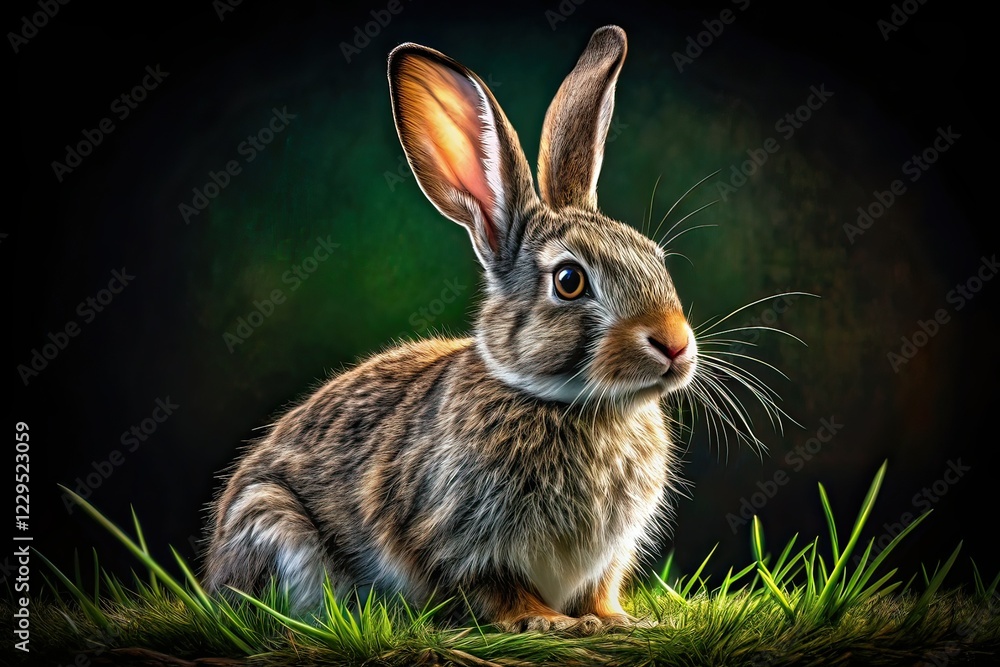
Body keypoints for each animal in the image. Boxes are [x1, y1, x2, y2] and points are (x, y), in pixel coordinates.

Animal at [203, 24, 698, 634]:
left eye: (655, 257)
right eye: (569, 281)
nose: (675, 344)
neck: (572, 404)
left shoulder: (607, 557)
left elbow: (600, 591)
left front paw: (620, 621)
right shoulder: (456, 537)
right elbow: (496, 587)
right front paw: (548, 622)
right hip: (272, 521)